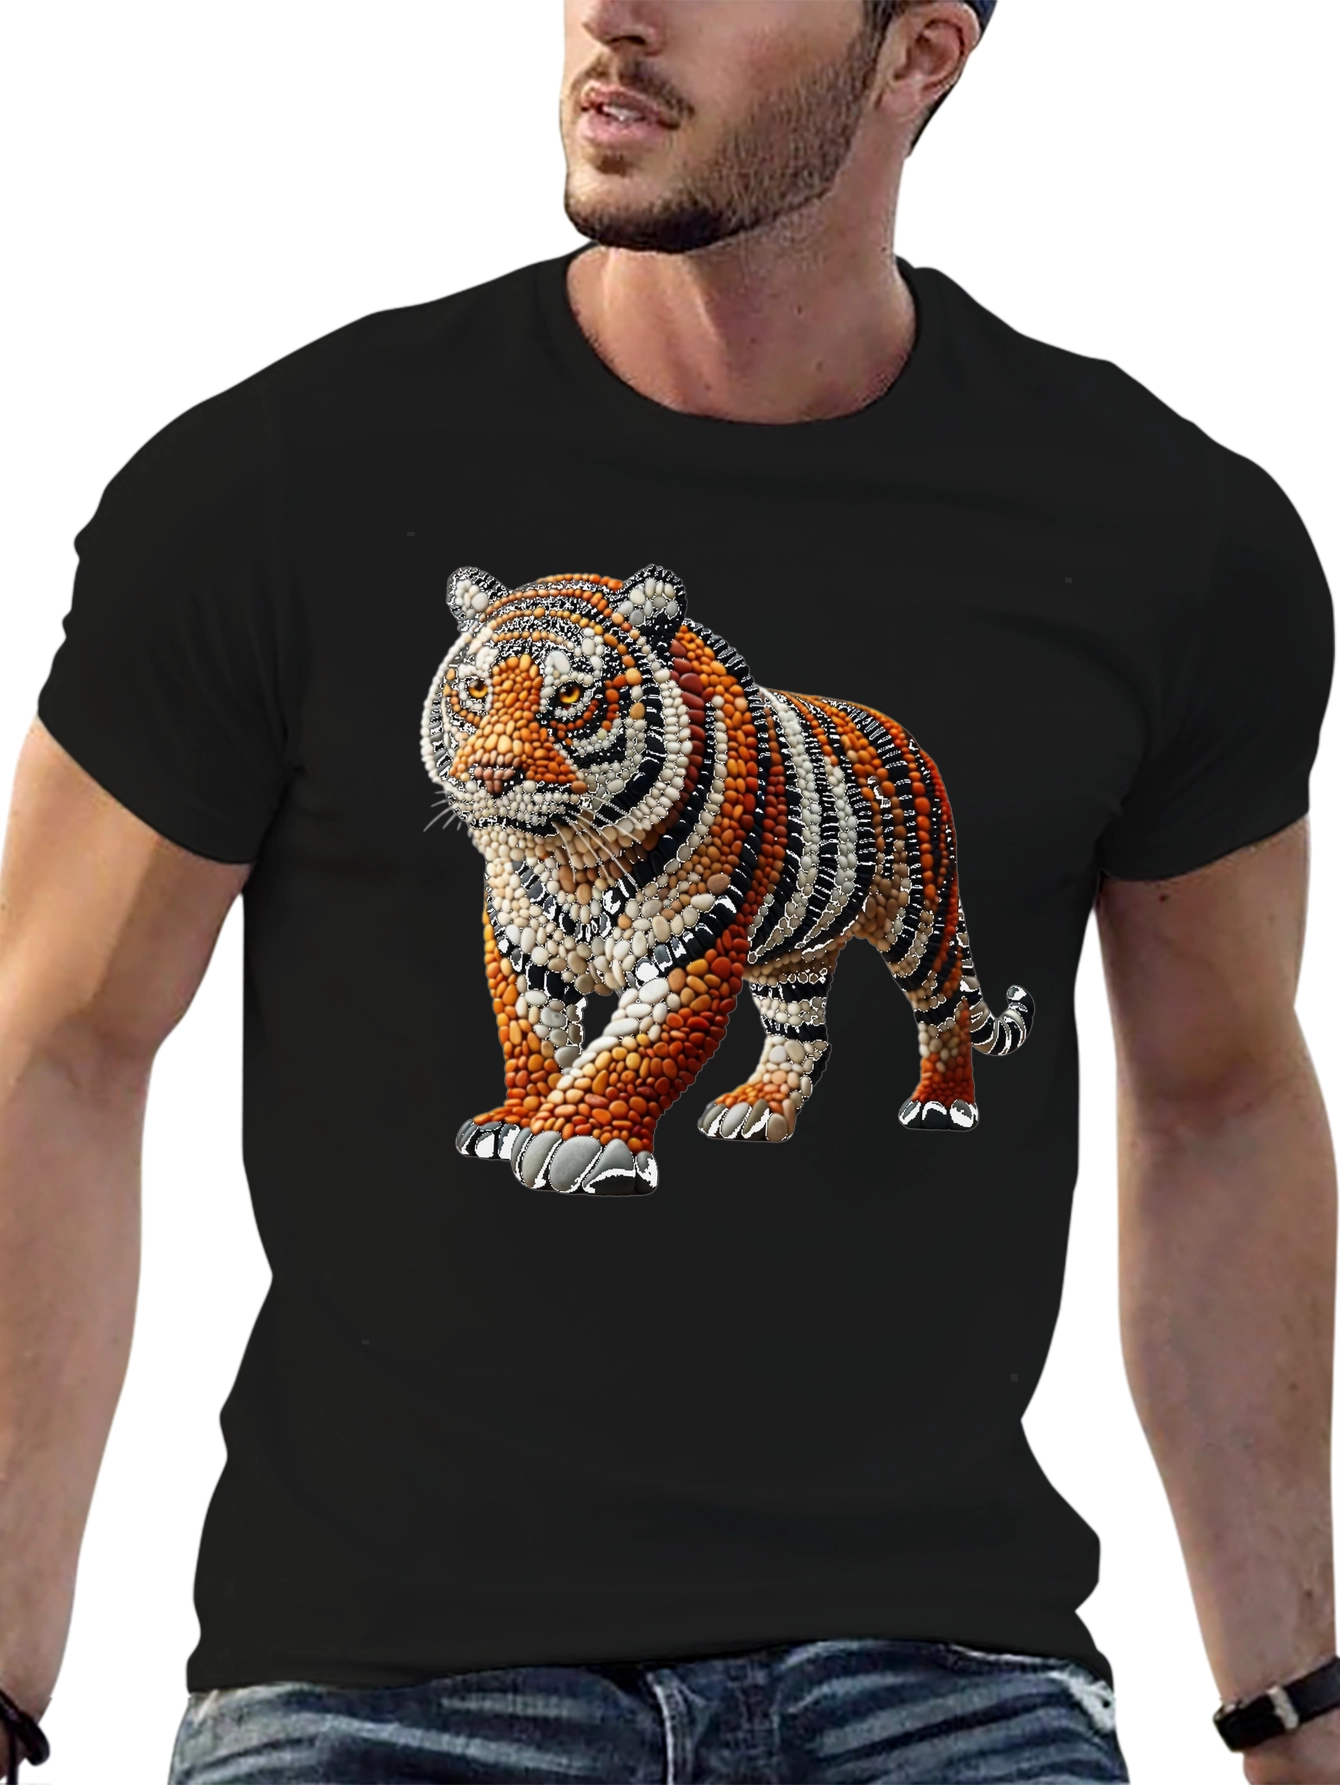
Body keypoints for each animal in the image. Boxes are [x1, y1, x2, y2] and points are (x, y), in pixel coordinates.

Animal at [421, 563, 1032, 1196]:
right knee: (802, 1032)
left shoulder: (685, 953)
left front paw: (576, 1141)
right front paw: (518, 1119)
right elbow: (532, 1040)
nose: (490, 774)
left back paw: (942, 1103)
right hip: (790, 956)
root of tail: (906, 737)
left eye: (568, 695)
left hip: (921, 917)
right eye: (476, 690)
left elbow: (630, 1052)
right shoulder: (522, 952)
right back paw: (757, 1106)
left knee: (946, 1010)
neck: (570, 860)